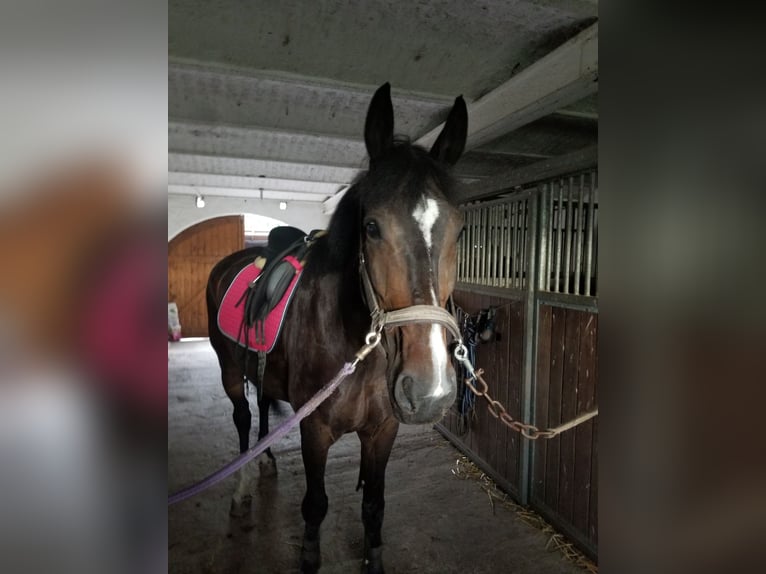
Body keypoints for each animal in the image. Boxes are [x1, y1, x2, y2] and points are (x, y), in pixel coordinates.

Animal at [206, 82, 468, 574]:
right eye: (372, 227)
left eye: (459, 231)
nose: (429, 392)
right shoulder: (315, 431)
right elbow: (315, 504)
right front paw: (309, 557)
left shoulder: (383, 430)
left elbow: (374, 505)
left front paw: (374, 559)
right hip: (228, 369)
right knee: (243, 417)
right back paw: (242, 487)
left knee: (263, 407)